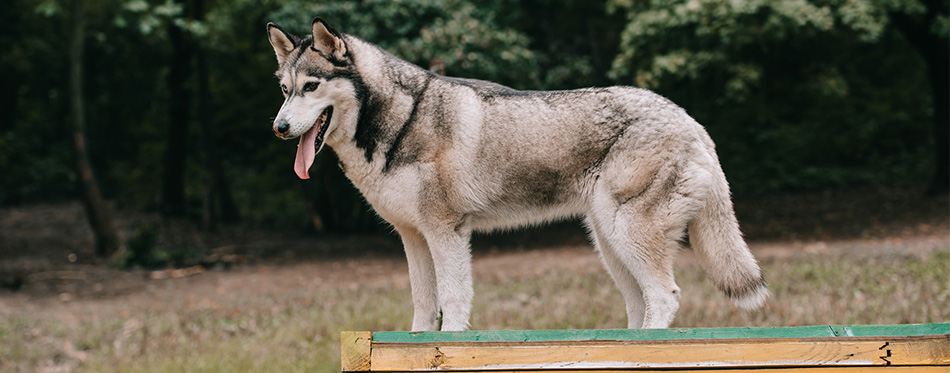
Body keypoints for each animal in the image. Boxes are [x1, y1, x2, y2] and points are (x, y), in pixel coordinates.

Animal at [266, 18, 768, 330]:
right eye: (285, 90)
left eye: (312, 87)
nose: (279, 128)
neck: (401, 120)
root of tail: (691, 121)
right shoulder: (414, 238)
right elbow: (424, 309)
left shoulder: (447, 233)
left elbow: (452, 304)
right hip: (609, 245)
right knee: (640, 304)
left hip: (627, 236)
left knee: (665, 296)